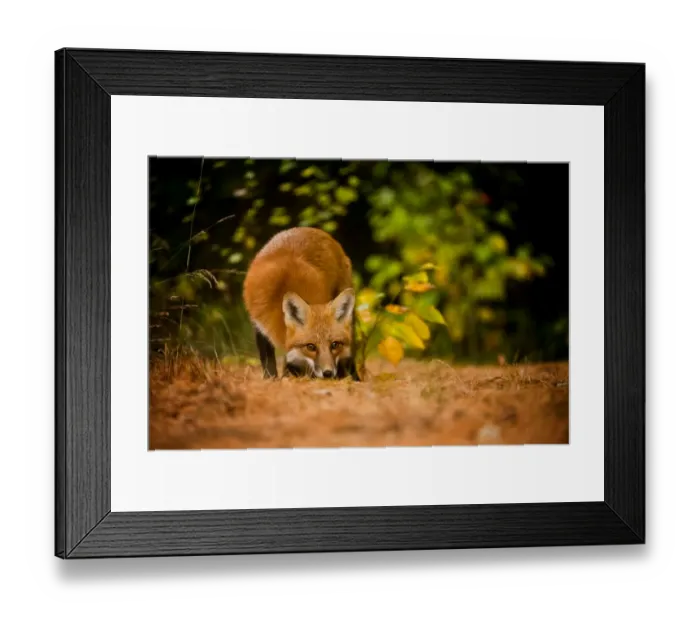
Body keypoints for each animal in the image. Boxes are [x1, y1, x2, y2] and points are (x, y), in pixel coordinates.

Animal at [242, 227, 360, 381]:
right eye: (311, 347)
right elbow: (269, 361)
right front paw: (271, 379)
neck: (281, 289)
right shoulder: (259, 328)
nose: (328, 373)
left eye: (334, 345)